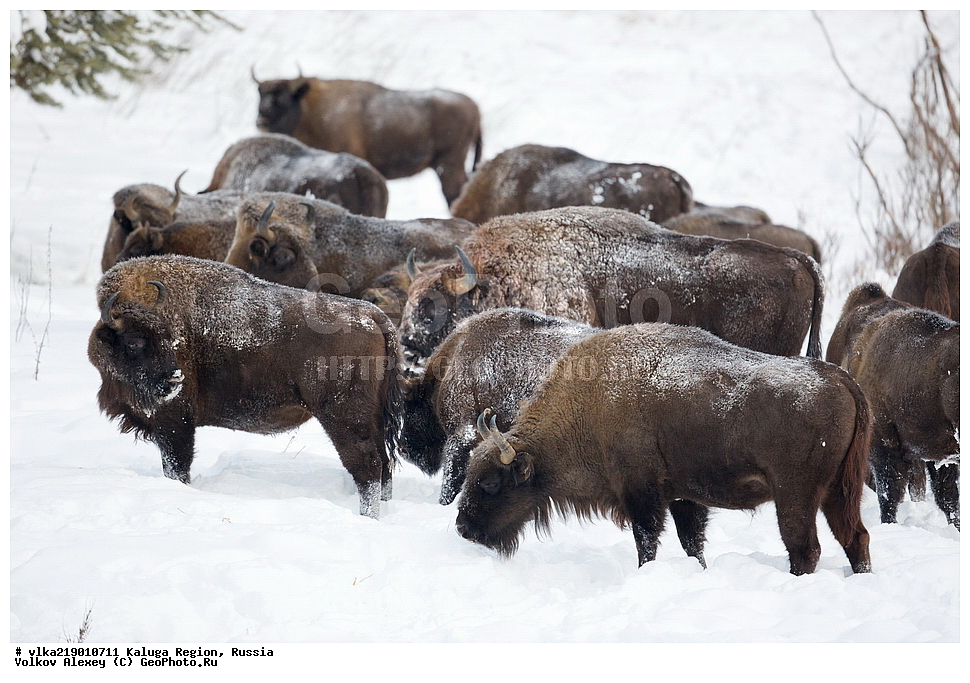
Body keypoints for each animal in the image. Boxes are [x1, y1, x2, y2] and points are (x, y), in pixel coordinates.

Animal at [88, 255, 404, 518]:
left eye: (168, 338)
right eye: (133, 342)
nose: (175, 379)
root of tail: (374, 316)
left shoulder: (174, 424)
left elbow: (177, 468)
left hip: (345, 418)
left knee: (368, 467)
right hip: (373, 420)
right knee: (385, 466)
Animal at [253, 72, 482, 204]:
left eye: (283, 99)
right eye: (260, 96)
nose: (261, 122)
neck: (310, 109)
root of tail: (474, 107)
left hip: (449, 165)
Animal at [456, 322, 872, 575]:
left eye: (490, 482)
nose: (462, 527)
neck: (589, 402)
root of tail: (841, 379)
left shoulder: (642, 494)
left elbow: (647, 543)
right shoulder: (684, 499)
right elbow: (692, 544)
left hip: (796, 496)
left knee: (805, 547)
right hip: (839, 493)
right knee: (855, 537)